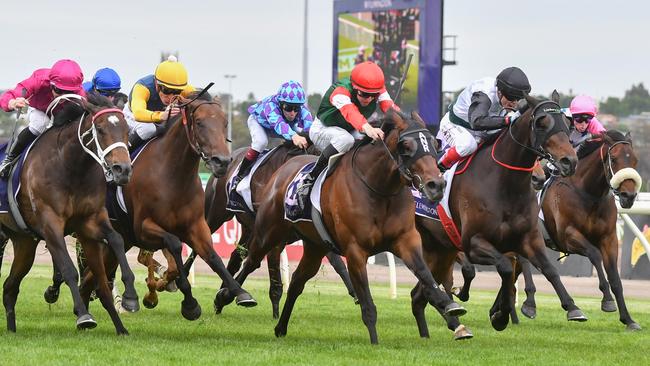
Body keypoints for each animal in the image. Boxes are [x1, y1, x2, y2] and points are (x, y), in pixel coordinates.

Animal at [0, 93, 137, 334]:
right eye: (100, 129)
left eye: (126, 129)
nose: (123, 170)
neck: (70, 166)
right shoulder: (50, 223)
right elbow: (68, 269)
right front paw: (83, 315)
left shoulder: (90, 219)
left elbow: (116, 242)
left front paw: (127, 304)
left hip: (24, 242)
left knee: (10, 287)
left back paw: (12, 329)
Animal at [78, 89, 256, 318]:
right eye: (199, 122)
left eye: (225, 122)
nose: (222, 162)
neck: (173, 177)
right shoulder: (144, 228)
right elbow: (174, 244)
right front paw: (187, 302)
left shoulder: (196, 225)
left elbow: (212, 256)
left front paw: (238, 292)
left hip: (121, 239)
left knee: (90, 277)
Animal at [220, 111, 468, 344]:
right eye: (406, 146)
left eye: (434, 143)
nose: (437, 185)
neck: (379, 190)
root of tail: (282, 170)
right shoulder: (355, 250)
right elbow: (367, 303)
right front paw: (374, 343)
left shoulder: (405, 240)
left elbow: (425, 274)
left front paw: (449, 306)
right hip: (269, 232)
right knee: (251, 261)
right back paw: (229, 296)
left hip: (315, 246)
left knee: (297, 282)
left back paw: (280, 327)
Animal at [408, 95, 584, 338]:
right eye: (541, 122)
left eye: (567, 123)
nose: (570, 161)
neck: (504, 184)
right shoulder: (473, 243)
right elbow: (505, 268)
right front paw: (500, 315)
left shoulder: (528, 239)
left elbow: (549, 270)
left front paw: (572, 307)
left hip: (441, 249)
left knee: (419, 295)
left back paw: (446, 329)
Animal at [512, 130, 640, 330]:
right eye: (613, 158)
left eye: (634, 160)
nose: (629, 196)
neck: (589, 195)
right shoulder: (568, 236)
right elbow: (594, 254)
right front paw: (607, 300)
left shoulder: (609, 239)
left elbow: (615, 278)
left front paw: (628, 319)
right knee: (525, 261)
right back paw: (531, 303)